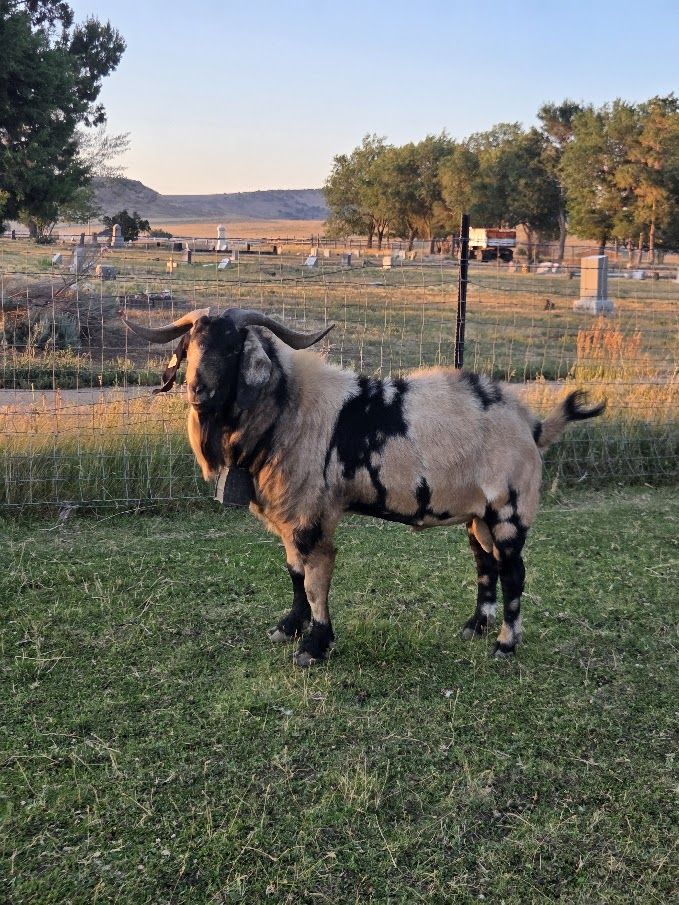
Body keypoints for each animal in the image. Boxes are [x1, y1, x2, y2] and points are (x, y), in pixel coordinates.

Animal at [122, 307, 605, 667]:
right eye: (190, 346)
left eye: (231, 345)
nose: (198, 391)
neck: (290, 408)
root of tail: (532, 424)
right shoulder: (289, 514)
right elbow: (294, 573)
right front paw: (288, 627)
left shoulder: (311, 513)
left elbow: (315, 579)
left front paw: (314, 645)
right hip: (478, 515)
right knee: (485, 563)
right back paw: (473, 628)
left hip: (509, 508)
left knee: (513, 572)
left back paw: (505, 645)